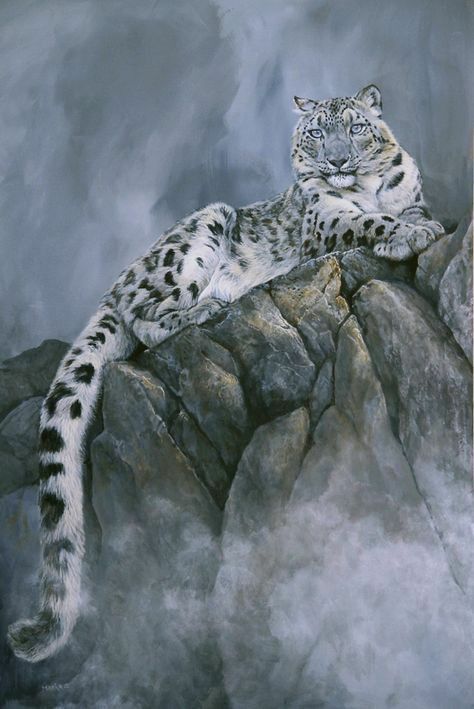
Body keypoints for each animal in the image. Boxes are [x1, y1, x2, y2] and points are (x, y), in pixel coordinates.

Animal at [8, 84, 444, 662]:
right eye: (315, 132)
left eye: (355, 126)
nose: (336, 162)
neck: (366, 188)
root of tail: (120, 279)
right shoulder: (325, 219)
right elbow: (366, 221)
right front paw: (407, 235)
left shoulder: (408, 195)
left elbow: (406, 211)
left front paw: (421, 226)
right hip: (191, 242)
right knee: (143, 316)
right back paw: (204, 308)